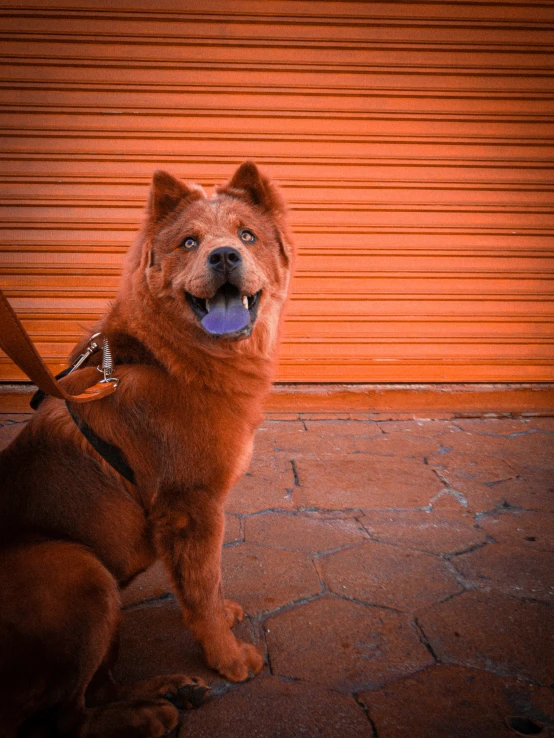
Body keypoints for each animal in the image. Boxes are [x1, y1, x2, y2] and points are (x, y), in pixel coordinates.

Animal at [0, 162, 294, 736]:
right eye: (190, 242)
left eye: (247, 236)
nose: (224, 256)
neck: (172, 361)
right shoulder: (190, 506)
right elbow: (200, 589)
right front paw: (229, 658)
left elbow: (210, 585)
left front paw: (223, 623)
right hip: (80, 570)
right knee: (65, 718)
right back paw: (151, 714)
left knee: (97, 690)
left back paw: (170, 690)